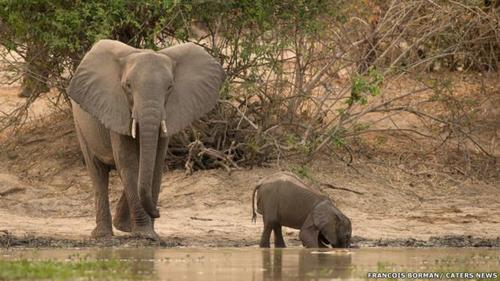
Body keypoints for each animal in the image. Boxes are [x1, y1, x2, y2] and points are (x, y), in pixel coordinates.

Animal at [68, 39, 225, 238]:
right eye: (127, 86)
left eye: (169, 87)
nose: (158, 212)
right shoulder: (117, 108)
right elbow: (128, 163)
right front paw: (145, 234)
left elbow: (156, 164)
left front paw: (149, 233)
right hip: (80, 124)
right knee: (97, 172)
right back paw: (103, 235)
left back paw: (123, 227)